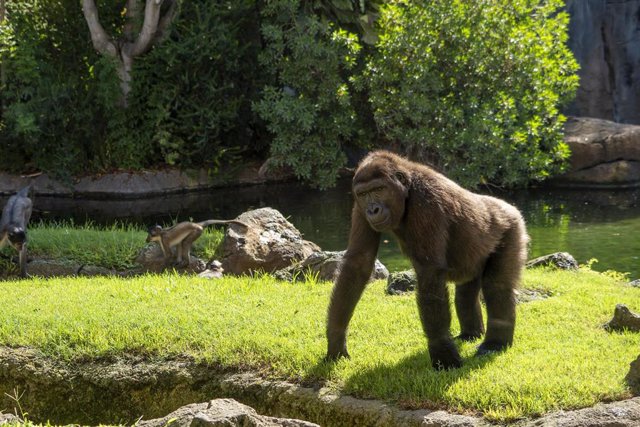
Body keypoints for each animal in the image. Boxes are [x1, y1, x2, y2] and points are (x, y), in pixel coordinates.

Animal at [328, 151, 528, 372]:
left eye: (379, 189)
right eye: (364, 194)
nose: (373, 210)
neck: (407, 188)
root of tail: (509, 207)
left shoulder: (427, 202)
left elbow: (430, 271)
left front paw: (442, 351)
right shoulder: (358, 206)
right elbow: (358, 263)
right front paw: (335, 341)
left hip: (512, 226)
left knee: (497, 286)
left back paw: (495, 344)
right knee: (466, 294)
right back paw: (471, 334)